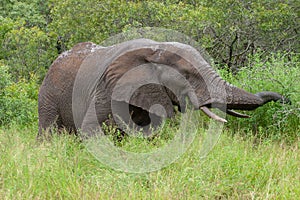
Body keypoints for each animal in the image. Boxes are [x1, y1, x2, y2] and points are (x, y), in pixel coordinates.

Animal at [37, 38, 288, 139]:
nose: (287, 100)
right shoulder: (107, 89)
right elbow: (91, 128)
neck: (156, 49)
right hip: (49, 95)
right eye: (188, 75)